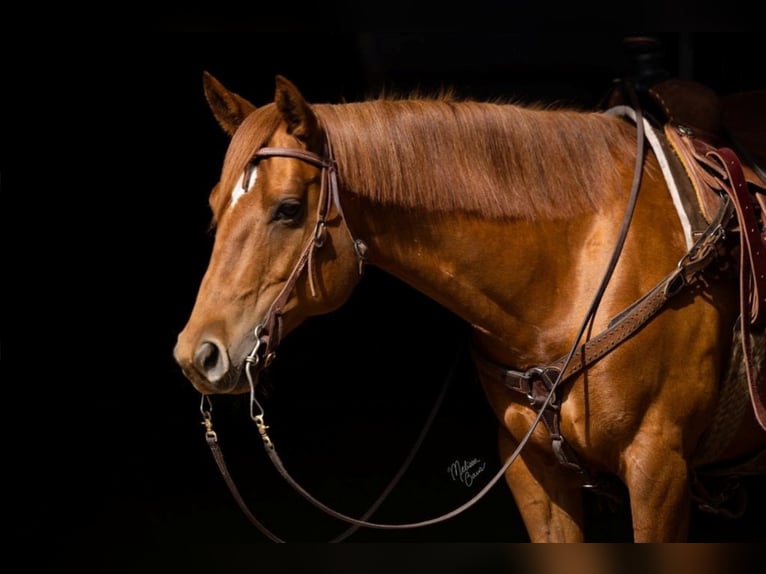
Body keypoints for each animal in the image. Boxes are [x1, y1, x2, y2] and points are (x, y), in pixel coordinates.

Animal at [176, 73, 766, 544]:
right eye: (214, 205)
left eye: (289, 209)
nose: (196, 355)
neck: (577, 268)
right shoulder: (533, 470)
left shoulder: (658, 471)